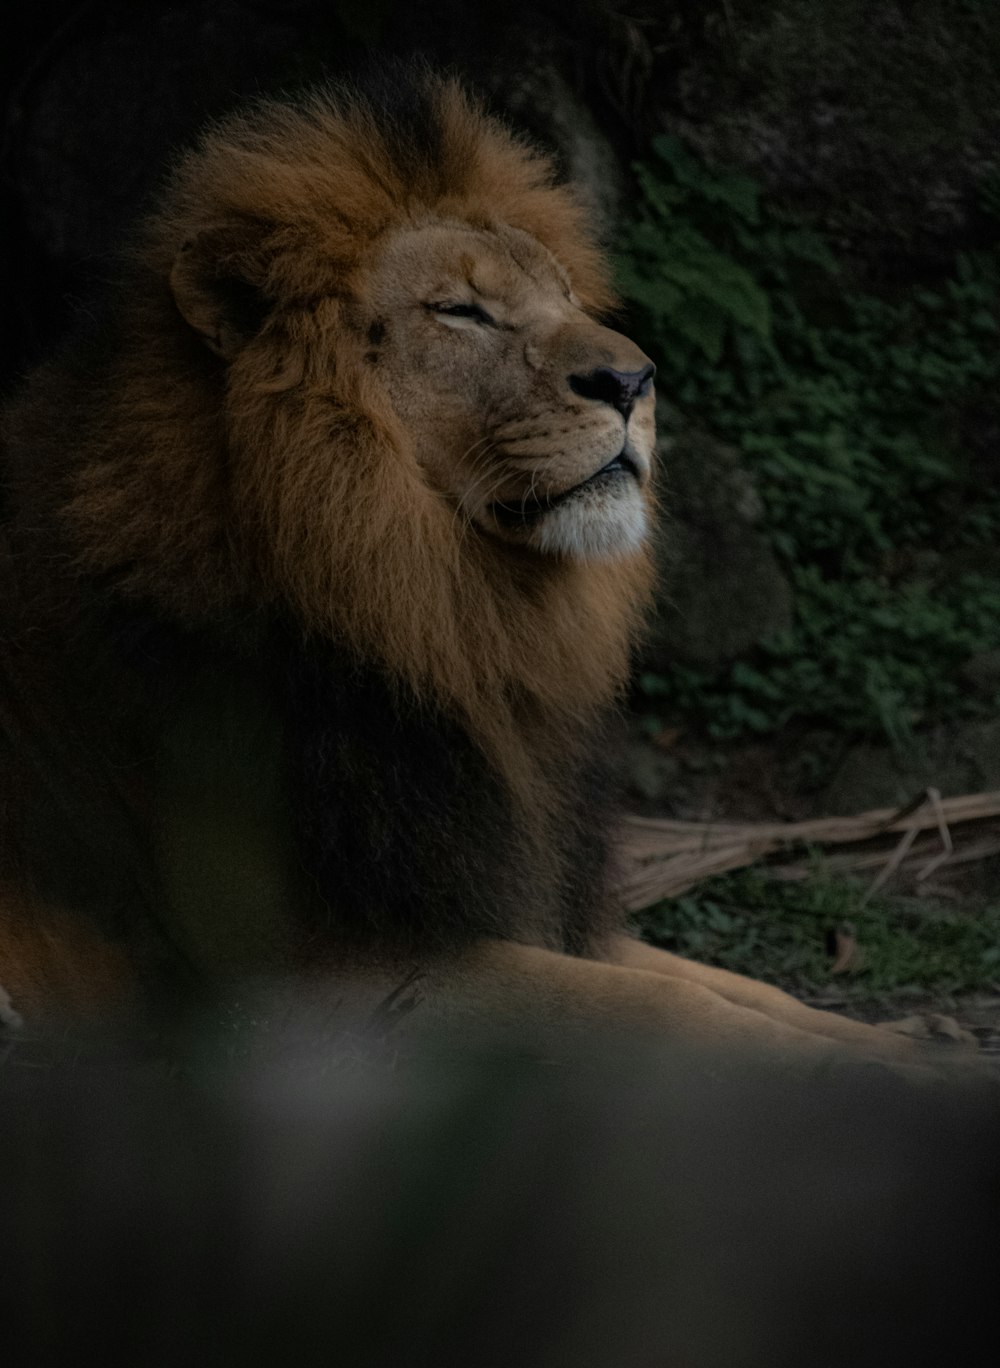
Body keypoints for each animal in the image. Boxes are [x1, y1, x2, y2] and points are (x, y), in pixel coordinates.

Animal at [0, 66, 952, 1067]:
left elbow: (725, 983)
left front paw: (917, 1035)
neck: (450, 617)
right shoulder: (314, 983)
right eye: (462, 312)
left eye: (569, 299)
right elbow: (664, 1006)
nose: (636, 381)